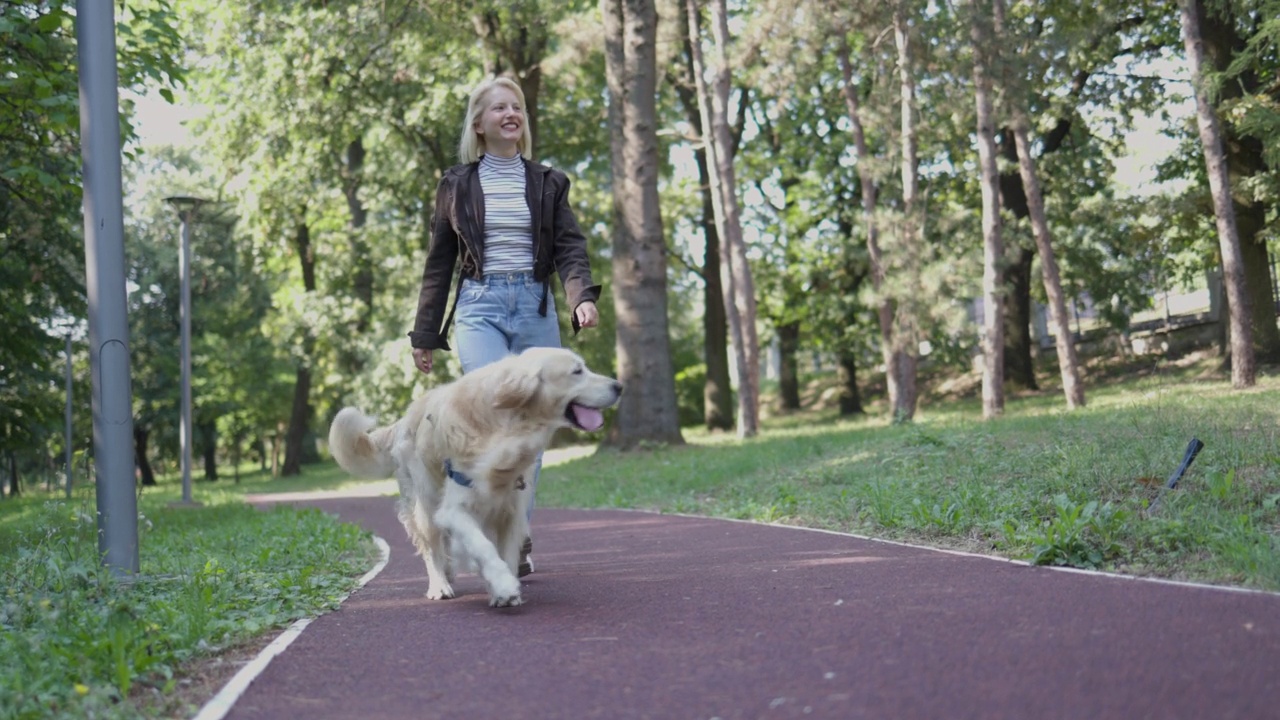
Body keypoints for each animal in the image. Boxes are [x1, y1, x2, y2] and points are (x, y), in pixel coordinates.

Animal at [327, 345, 622, 602]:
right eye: (577, 371)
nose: (618, 386)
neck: (507, 425)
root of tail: (405, 418)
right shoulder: (454, 509)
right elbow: (483, 546)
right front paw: (503, 585)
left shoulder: (512, 508)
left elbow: (506, 553)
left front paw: (502, 587)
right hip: (426, 500)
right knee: (431, 547)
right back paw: (440, 584)